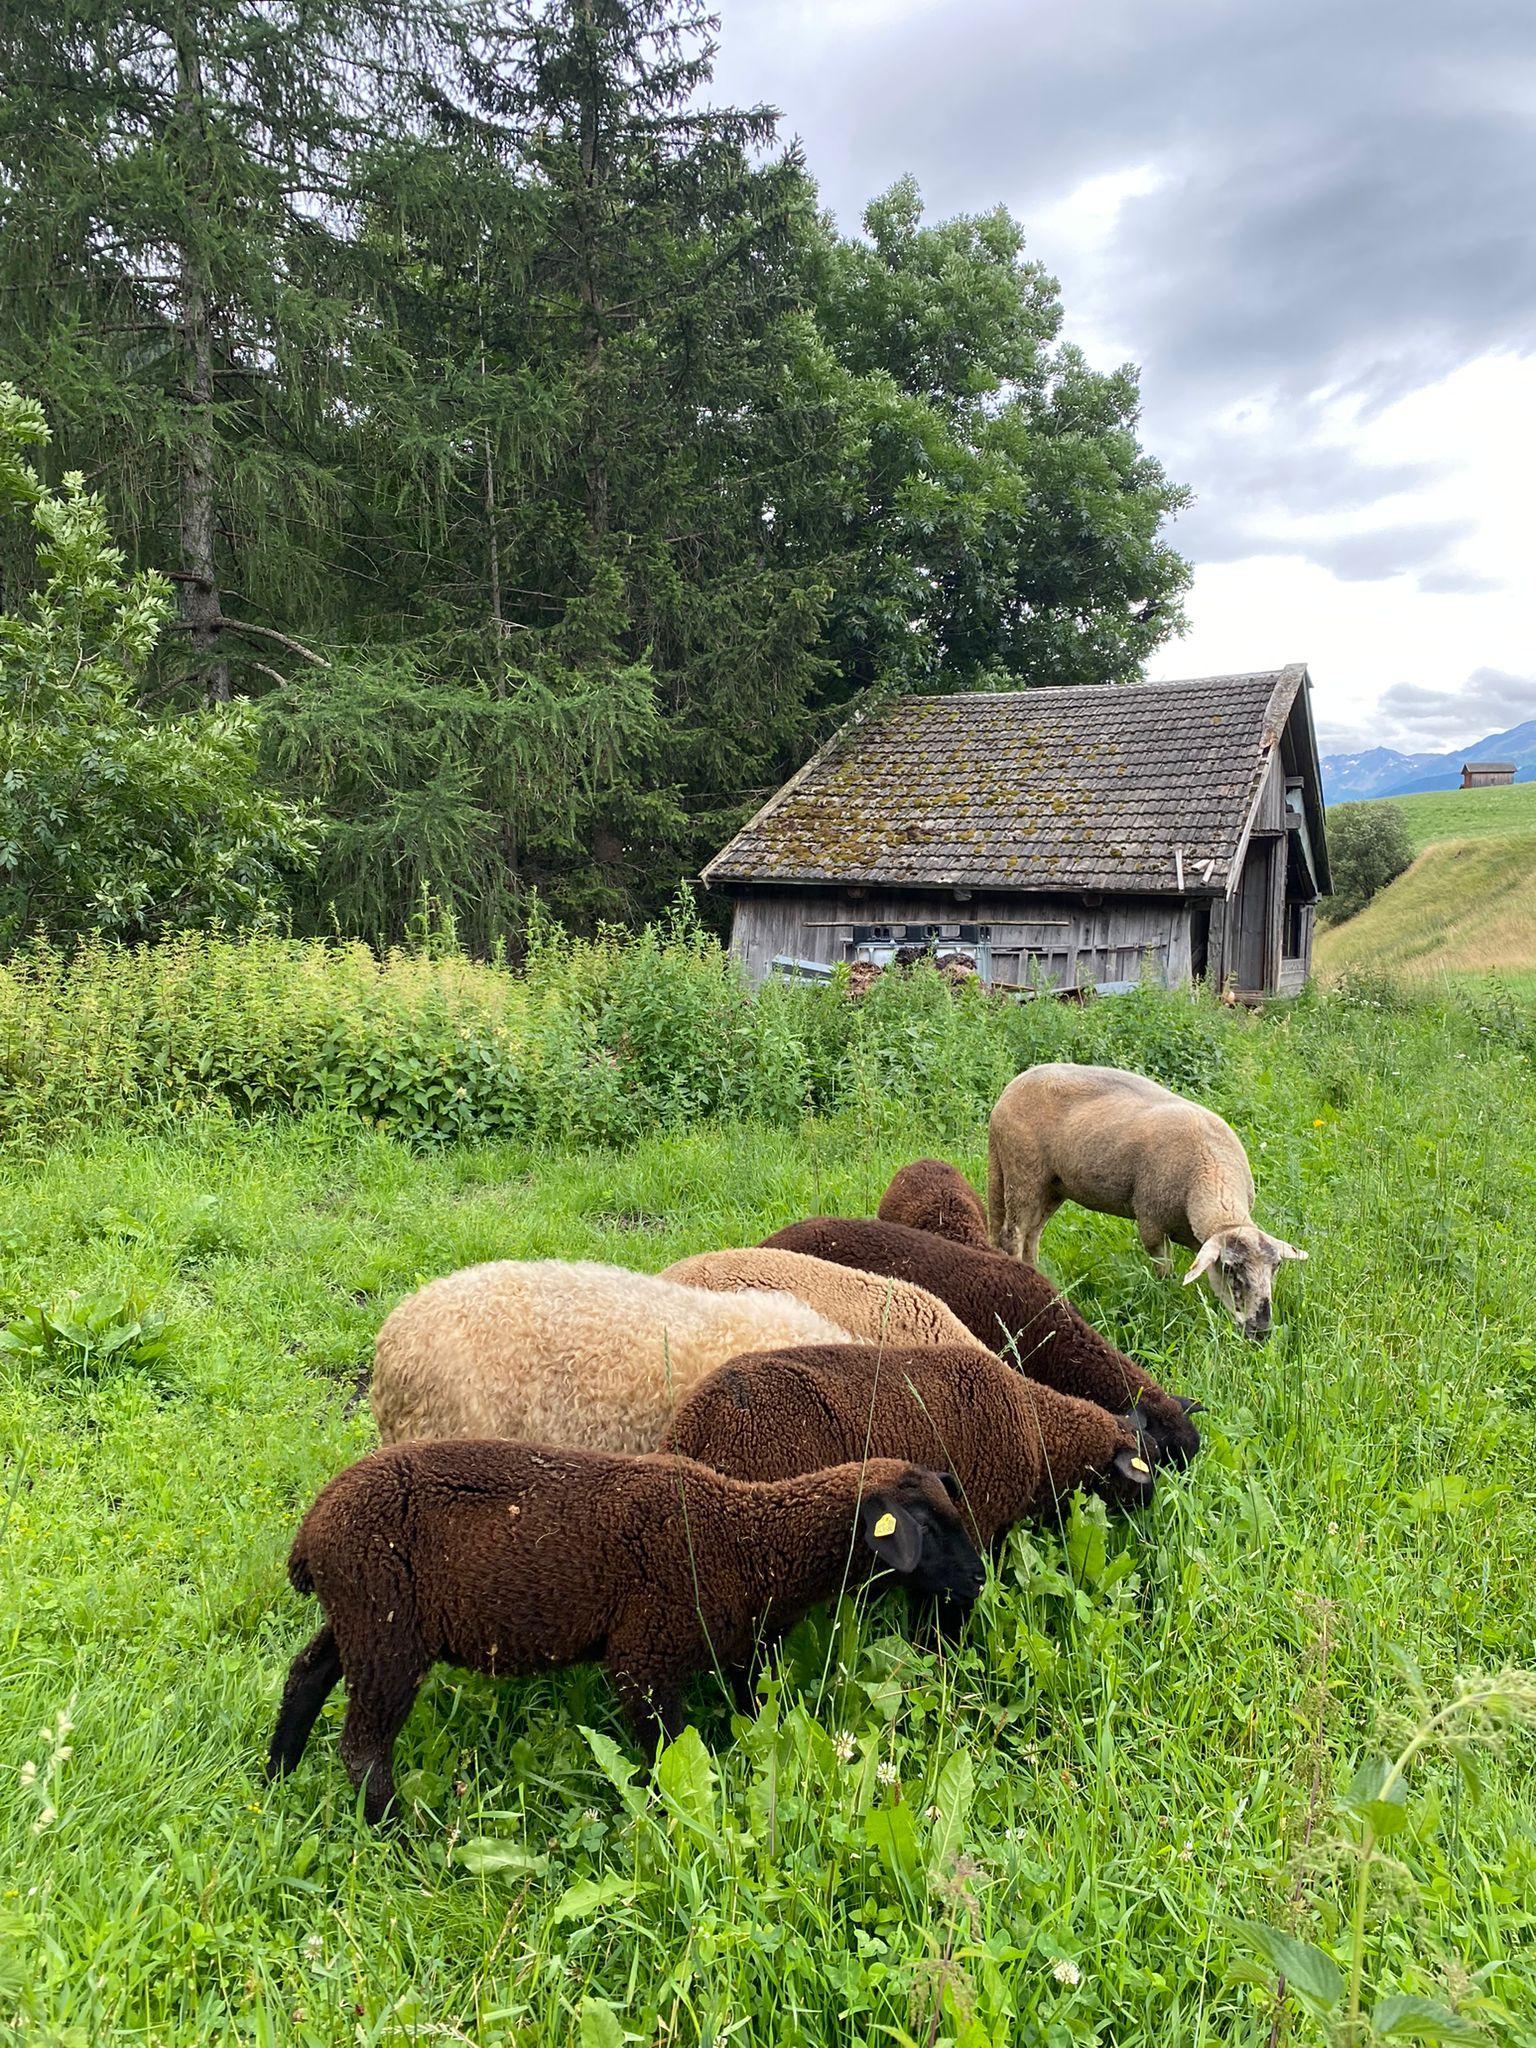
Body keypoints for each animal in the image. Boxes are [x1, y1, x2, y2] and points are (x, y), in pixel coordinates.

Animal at [266, 1437, 986, 1822]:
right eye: (929, 1527)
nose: (980, 1579)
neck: (750, 1542)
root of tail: (309, 1537)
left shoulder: (747, 1654)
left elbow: (754, 1720)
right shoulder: (644, 1657)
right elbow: (670, 1749)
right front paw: (683, 1815)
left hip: (360, 1617)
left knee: (304, 1676)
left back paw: (277, 1775)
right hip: (384, 1627)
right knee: (363, 1749)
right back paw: (400, 1835)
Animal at [988, 1062, 1306, 1341]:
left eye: (1276, 1267)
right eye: (1229, 1268)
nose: (1260, 1332)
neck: (1209, 1172)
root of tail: (1012, 1087)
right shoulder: (1152, 1223)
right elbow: (1164, 1274)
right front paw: (1166, 1302)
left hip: (1053, 1184)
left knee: (1032, 1234)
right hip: (1022, 1170)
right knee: (1013, 1234)